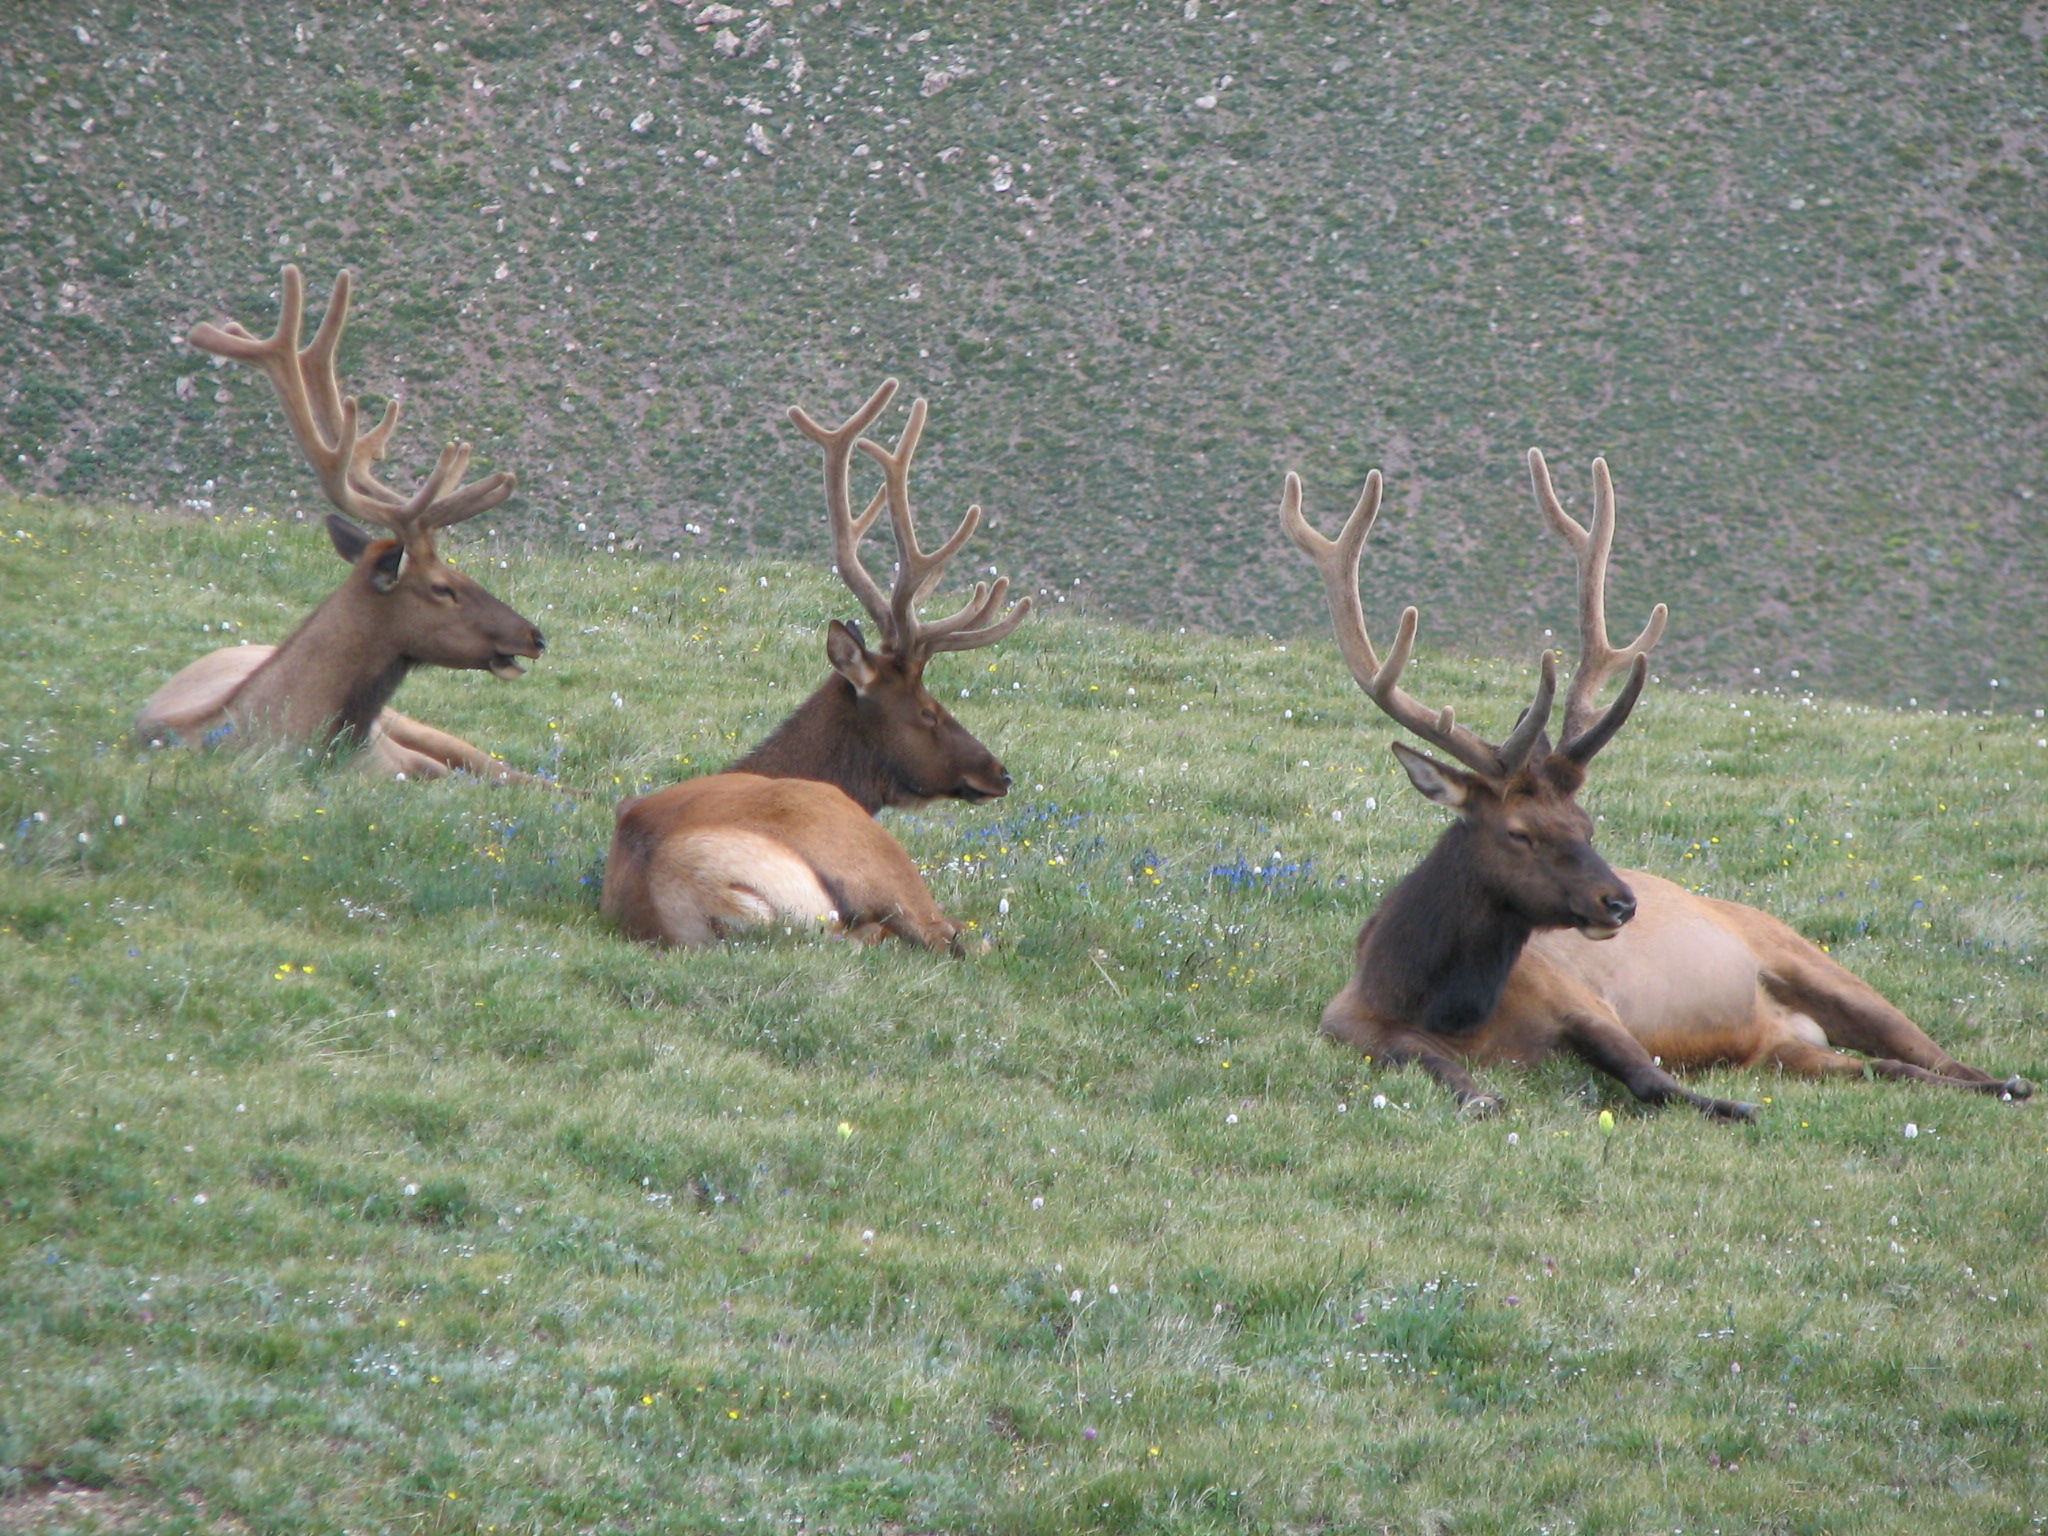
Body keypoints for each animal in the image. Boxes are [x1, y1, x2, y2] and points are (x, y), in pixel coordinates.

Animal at [1286, 450, 2023, 1122]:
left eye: (1588, 824)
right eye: (1520, 833)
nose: (1619, 903)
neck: (1439, 1000)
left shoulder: (1584, 1001)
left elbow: (1649, 1078)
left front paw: (1730, 1107)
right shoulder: (1351, 1025)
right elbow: (1446, 1075)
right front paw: (1482, 1094)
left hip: (1810, 959)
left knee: (1930, 1054)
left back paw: (2008, 1082)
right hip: (1788, 1048)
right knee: (1883, 1067)